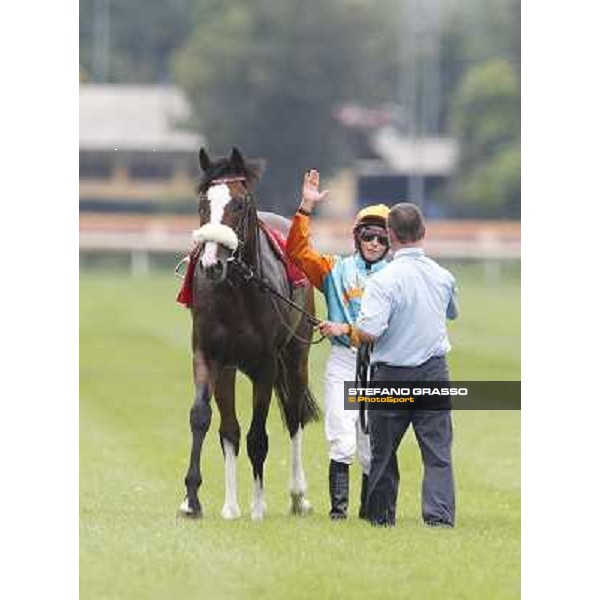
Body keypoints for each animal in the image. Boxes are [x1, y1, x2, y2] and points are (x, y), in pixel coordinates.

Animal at [177, 146, 318, 520]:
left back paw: (298, 495)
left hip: (296, 355)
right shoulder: (210, 357)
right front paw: (195, 500)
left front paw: (257, 506)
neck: (236, 291)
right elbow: (208, 421)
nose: (211, 264)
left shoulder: (265, 365)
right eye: (203, 203)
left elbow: (258, 436)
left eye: (239, 204)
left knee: (295, 416)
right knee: (232, 428)